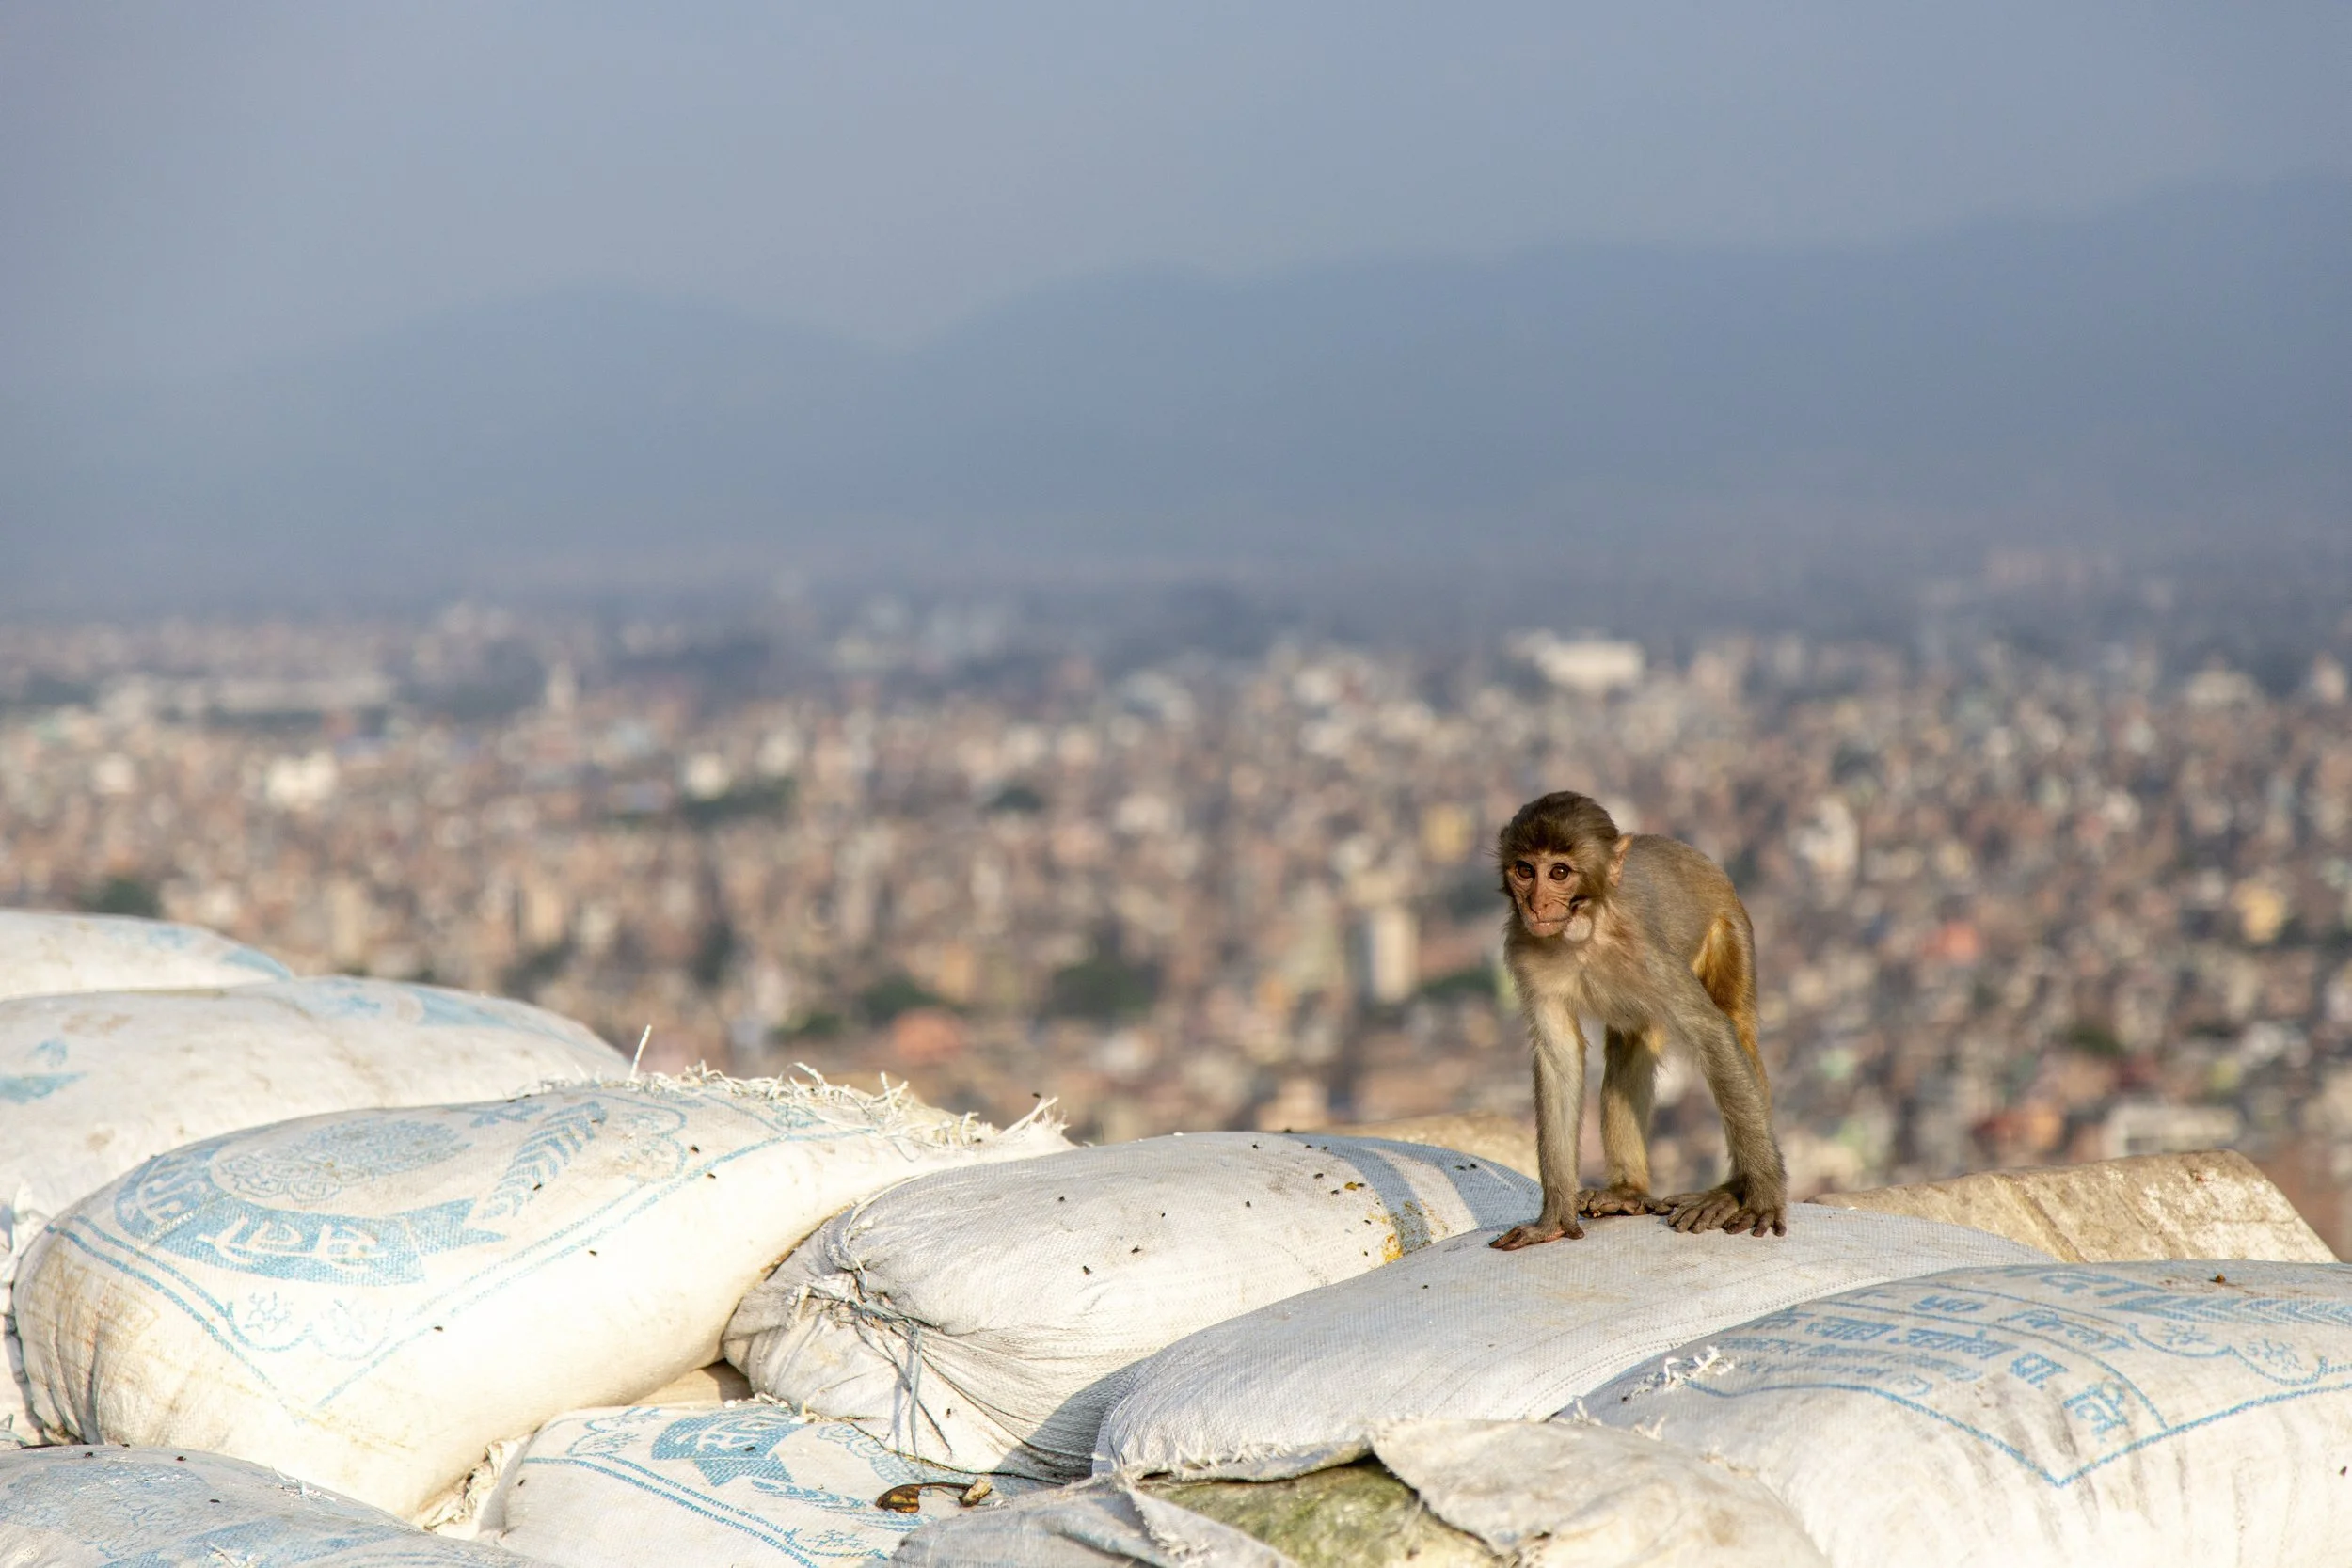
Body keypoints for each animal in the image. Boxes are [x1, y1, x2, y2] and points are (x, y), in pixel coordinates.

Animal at [1486, 790, 1786, 1248]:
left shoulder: (1647, 951)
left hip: (1728, 929)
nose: (1536, 904)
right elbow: (1559, 1058)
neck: (1584, 931)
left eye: (1559, 872)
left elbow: (1712, 1032)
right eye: (1524, 870)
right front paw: (1553, 1219)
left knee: (1737, 1026)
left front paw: (1763, 1196)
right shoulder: (1525, 951)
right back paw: (1628, 1191)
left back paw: (1733, 1191)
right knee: (1631, 1045)